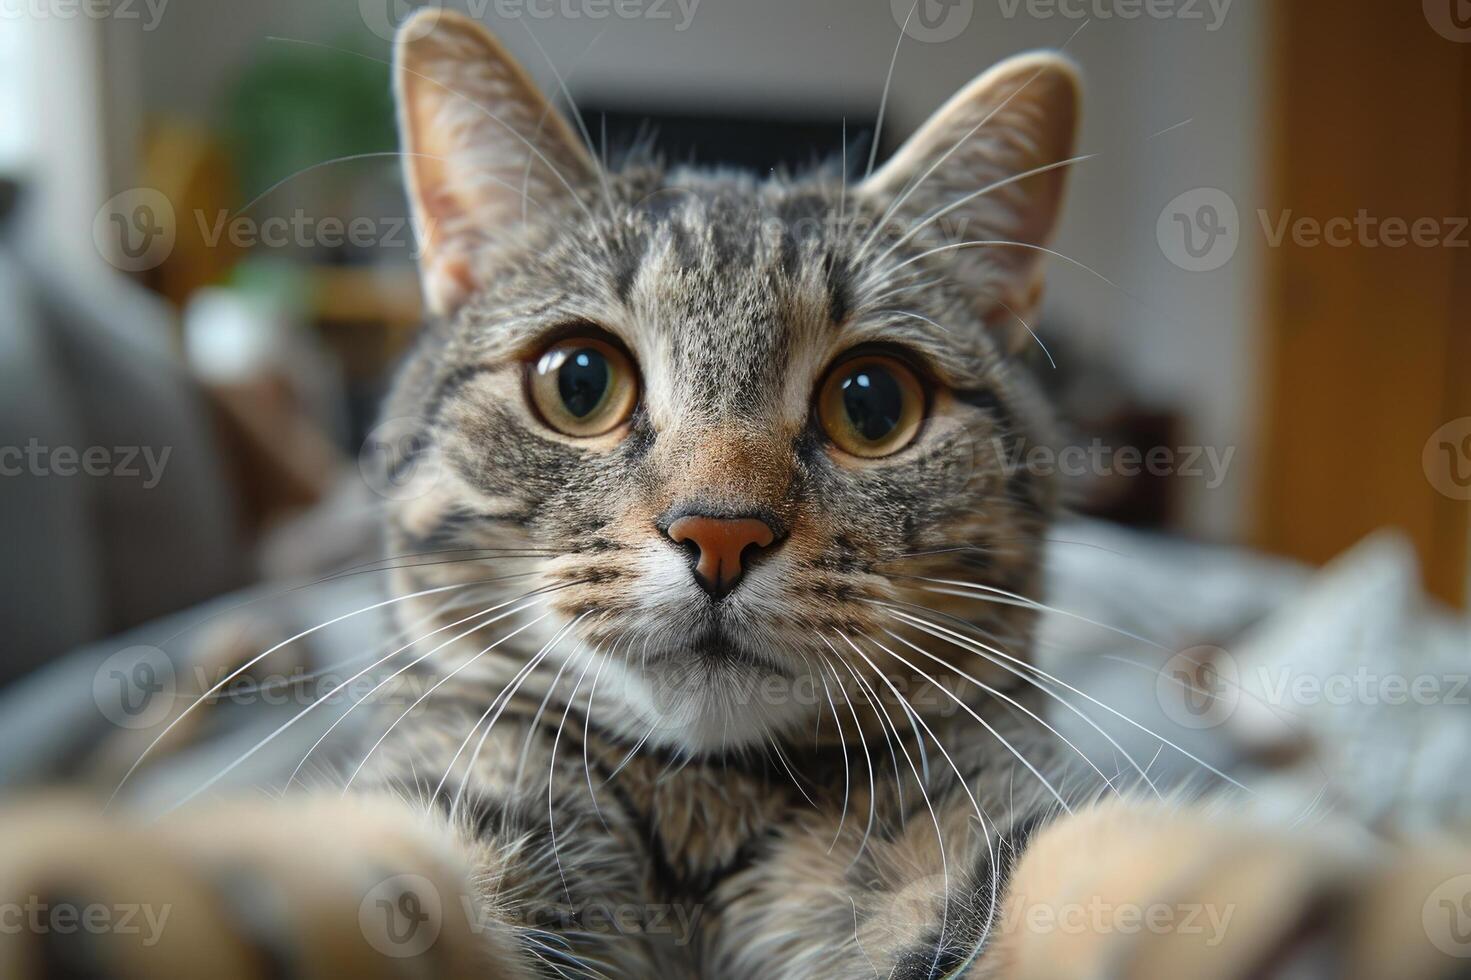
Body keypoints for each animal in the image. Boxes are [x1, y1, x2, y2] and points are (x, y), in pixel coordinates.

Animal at [0, 9, 1465, 977]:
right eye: (578, 379)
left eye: (872, 402)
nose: (719, 530)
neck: (703, 821)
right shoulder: (459, 795)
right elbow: (370, 867)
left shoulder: (961, 843)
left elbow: (1086, 865)